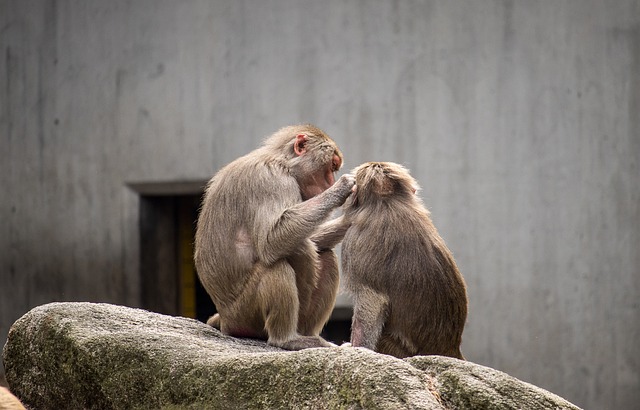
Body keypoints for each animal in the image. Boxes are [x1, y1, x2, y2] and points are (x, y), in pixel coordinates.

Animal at [195, 124, 356, 350]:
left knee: (324, 254)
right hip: (244, 312)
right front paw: (341, 188)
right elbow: (272, 240)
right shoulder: (271, 180)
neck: (284, 163)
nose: (329, 183)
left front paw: (351, 218)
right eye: (331, 167)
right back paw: (288, 339)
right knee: (278, 264)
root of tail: (225, 320)